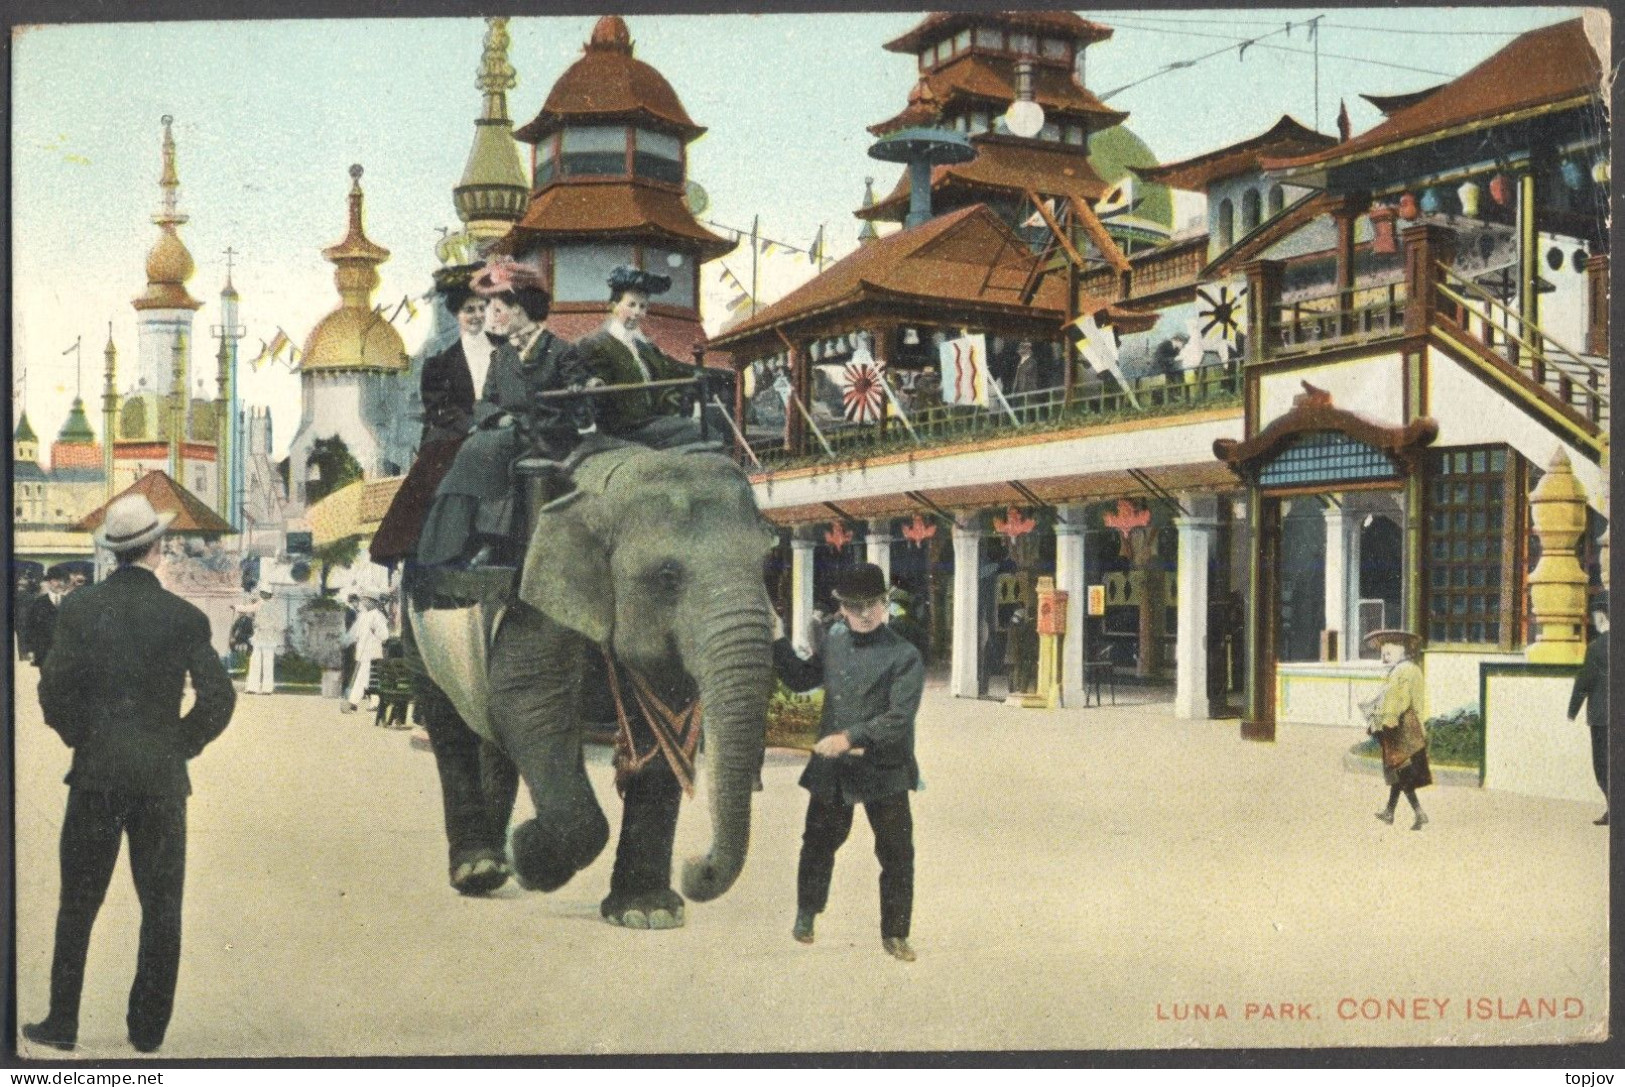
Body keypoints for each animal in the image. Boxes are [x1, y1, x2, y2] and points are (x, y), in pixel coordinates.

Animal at [416, 441, 776, 922]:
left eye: (766, 564)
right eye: (667, 577)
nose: (694, 867)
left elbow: (666, 734)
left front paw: (648, 915)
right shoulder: (537, 598)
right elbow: (530, 706)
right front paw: (529, 856)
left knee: (490, 730)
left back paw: (493, 867)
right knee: (450, 725)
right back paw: (479, 870)